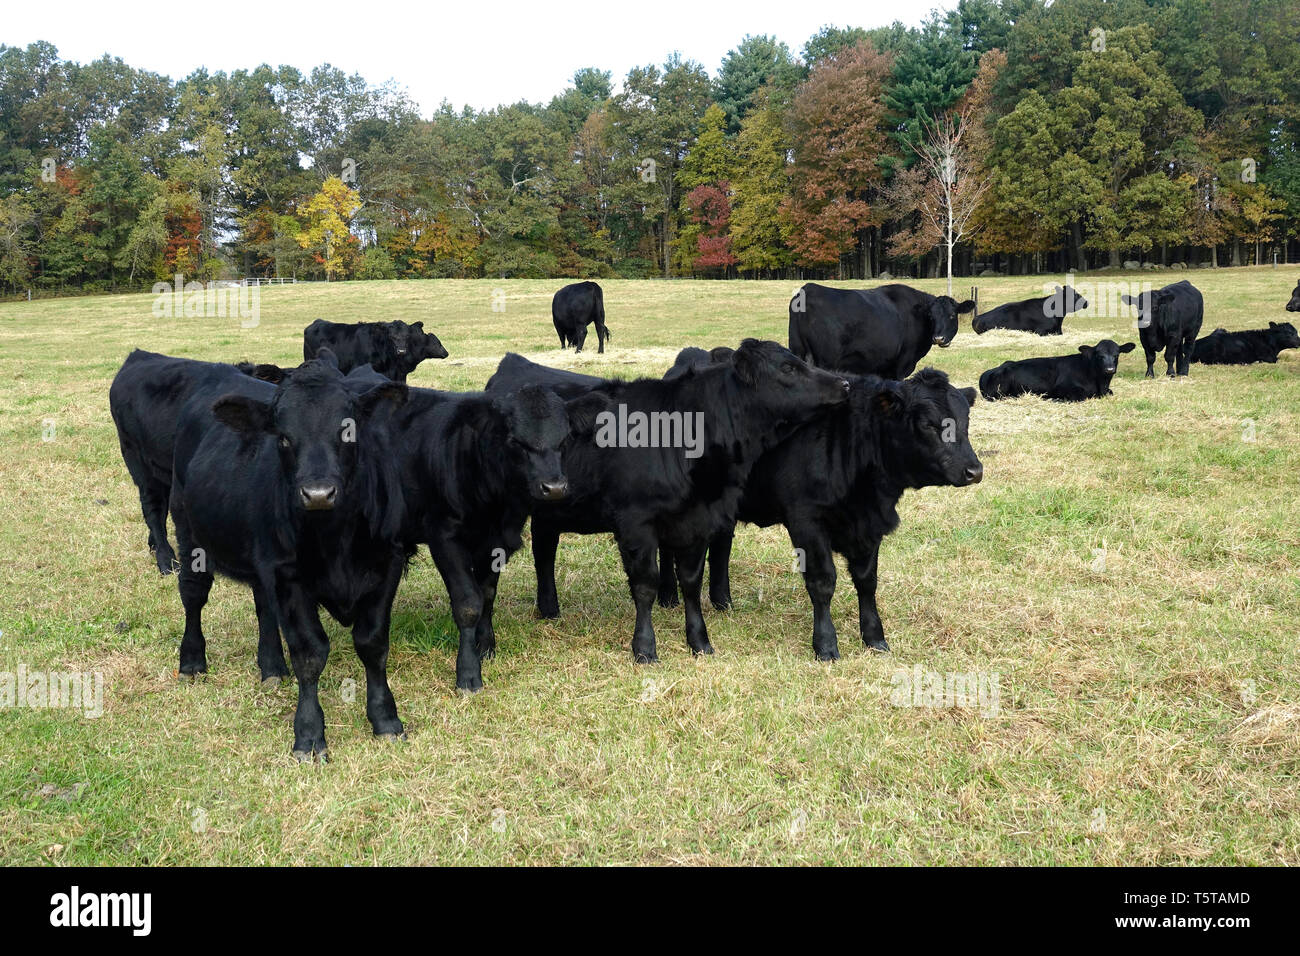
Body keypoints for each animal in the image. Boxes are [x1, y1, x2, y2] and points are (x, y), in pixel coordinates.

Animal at [169, 351, 410, 760]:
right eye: (282, 438)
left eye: (348, 430)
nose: (318, 493)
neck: (336, 537)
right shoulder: (288, 576)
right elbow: (310, 653)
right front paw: (309, 734)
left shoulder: (387, 566)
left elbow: (373, 643)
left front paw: (386, 719)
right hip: (188, 532)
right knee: (193, 594)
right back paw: (192, 660)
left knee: (263, 606)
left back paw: (271, 668)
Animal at [488, 340, 851, 663]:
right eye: (788, 368)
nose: (844, 383)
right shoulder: (635, 523)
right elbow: (644, 585)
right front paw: (645, 648)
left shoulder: (698, 520)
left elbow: (690, 581)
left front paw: (699, 641)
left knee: (544, 550)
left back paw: (549, 609)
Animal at [789, 283, 975, 379]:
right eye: (931, 316)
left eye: (952, 315)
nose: (939, 338)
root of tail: (808, 289)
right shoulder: (901, 364)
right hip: (826, 362)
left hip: (797, 351)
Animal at [979, 339, 1136, 402]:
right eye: (1099, 355)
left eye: (1116, 355)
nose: (1109, 369)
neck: (1100, 384)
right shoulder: (1063, 388)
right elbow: (1082, 396)